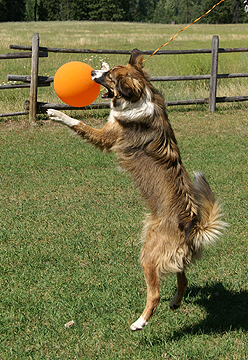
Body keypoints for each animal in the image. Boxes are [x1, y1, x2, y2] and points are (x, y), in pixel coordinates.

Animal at [47, 49, 227, 330]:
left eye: (109, 78)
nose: (92, 72)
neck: (140, 96)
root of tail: (194, 224)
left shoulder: (106, 136)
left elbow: (78, 123)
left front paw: (57, 113)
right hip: (171, 256)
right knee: (183, 279)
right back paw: (175, 303)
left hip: (148, 254)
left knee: (154, 293)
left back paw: (140, 322)